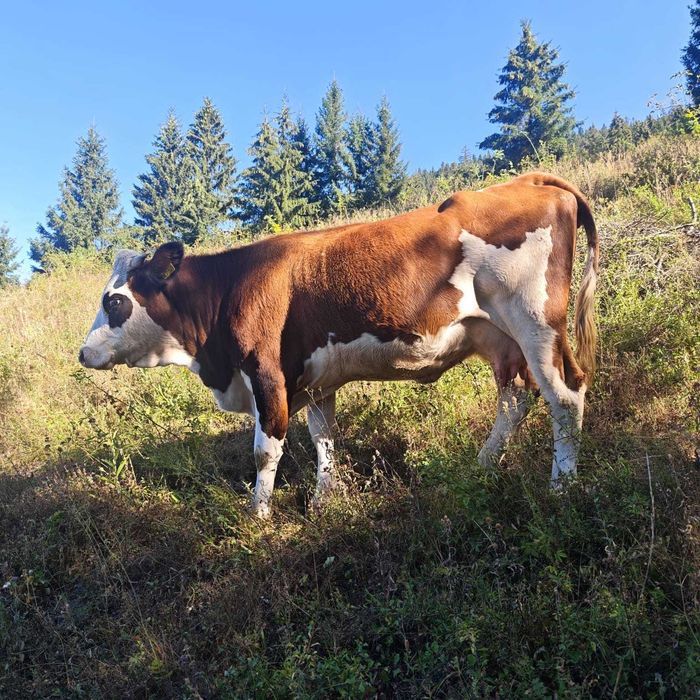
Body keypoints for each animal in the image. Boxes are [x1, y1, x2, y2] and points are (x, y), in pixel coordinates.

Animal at [79, 172, 598, 518]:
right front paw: (325, 499)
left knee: (565, 396)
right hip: (499, 339)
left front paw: (258, 515)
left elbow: (265, 451)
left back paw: (563, 486)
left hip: (536, 323)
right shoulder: (315, 381)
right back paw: (483, 465)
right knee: (514, 400)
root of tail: (529, 180)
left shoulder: (267, 376)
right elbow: (323, 437)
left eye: (115, 301)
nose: (83, 353)